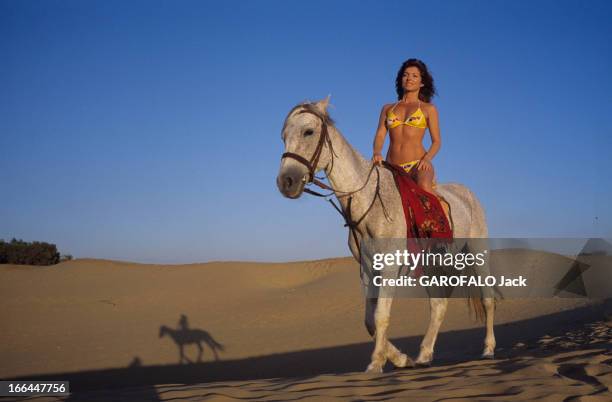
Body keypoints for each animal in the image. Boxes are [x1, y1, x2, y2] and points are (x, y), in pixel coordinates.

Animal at [274, 98, 494, 374]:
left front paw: (376, 362)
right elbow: (369, 320)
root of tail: (469, 195)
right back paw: (423, 355)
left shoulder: (389, 266)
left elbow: (381, 316)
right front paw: (400, 358)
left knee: (487, 299)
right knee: (438, 306)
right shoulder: (368, 268)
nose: (286, 182)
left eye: (308, 131)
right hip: (432, 265)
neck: (370, 201)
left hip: (477, 254)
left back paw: (488, 349)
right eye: (284, 137)